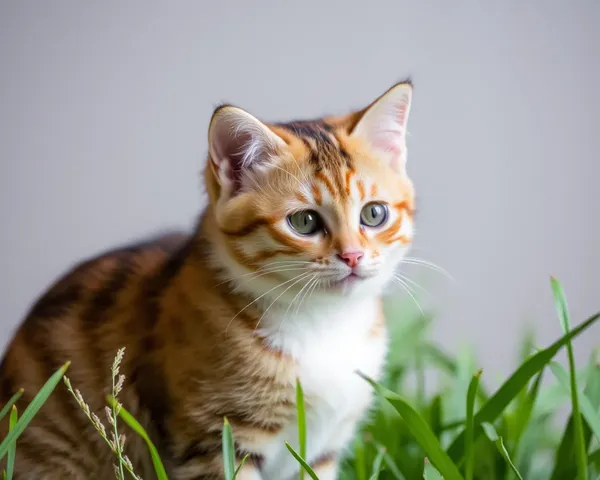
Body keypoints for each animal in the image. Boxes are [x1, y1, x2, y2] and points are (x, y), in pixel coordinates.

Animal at [0, 80, 414, 478]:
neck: (324, 323)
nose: (353, 256)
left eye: (374, 214)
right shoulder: (216, 438)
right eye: (304, 221)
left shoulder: (322, 450)